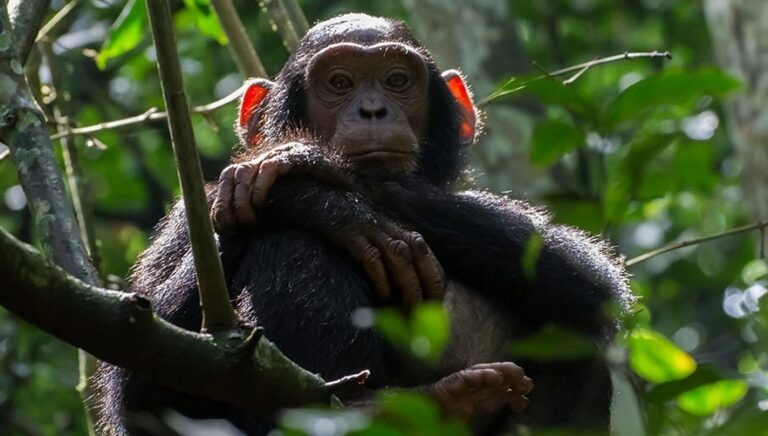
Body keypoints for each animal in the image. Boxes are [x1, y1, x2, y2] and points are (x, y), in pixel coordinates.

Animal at [95, 13, 632, 435]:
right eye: (339, 83)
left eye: (397, 80)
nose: (373, 109)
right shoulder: (186, 218)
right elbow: (140, 383)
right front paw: (326, 205)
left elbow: (590, 280)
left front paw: (304, 166)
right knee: (292, 245)